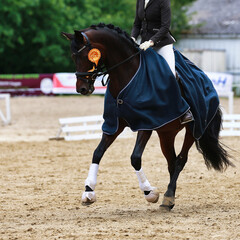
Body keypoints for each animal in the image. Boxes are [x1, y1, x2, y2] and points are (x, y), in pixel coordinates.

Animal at [61, 22, 233, 210]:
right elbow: (97, 153)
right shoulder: (114, 125)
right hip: (166, 133)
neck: (127, 72)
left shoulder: (146, 123)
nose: (82, 89)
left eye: (86, 56)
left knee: (180, 160)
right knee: (171, 162)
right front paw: (88, 191)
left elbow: (135, 158)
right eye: (73, 56)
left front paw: (149, 192)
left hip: (193, 129)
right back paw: (169, 199)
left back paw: (168, 196)